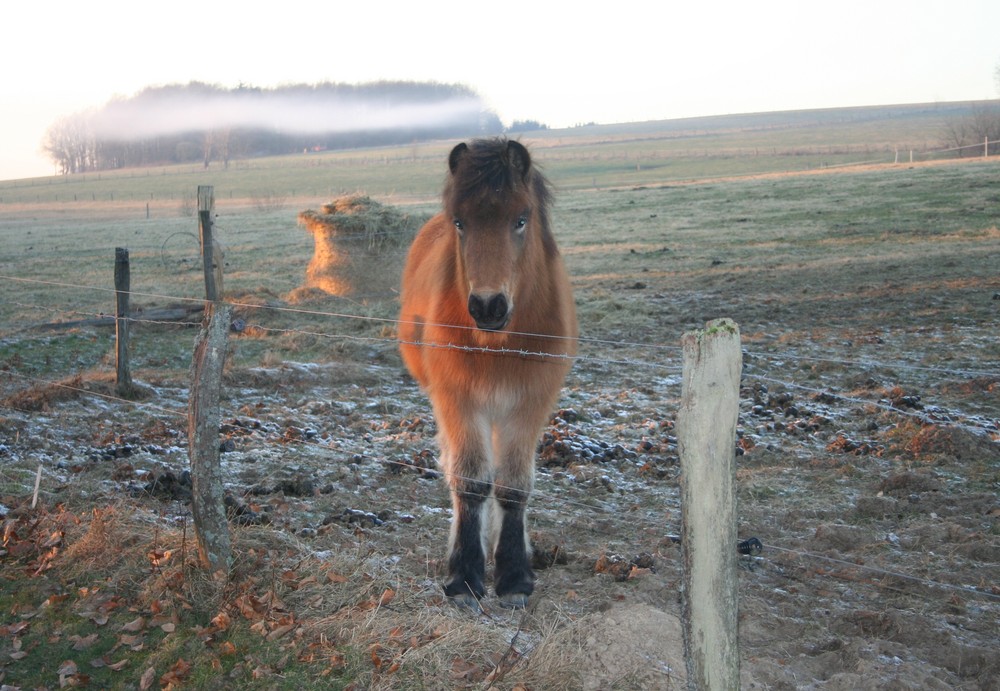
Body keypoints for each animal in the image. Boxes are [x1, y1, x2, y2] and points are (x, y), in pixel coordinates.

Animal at [394, 138, 576, 608]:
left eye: (521, 219)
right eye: (460, 222)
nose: (488, 306)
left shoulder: (529, 403)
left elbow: (512, 486)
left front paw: (513, 574)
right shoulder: (459, 400)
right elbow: (470, 481)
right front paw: (465, 574)